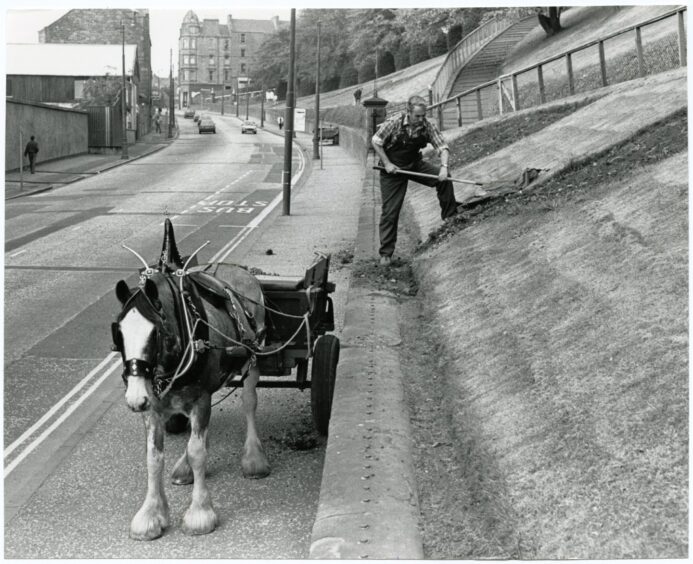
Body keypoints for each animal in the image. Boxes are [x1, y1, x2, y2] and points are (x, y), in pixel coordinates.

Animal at [111, 218, 270, 540]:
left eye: (155, 332)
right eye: (118, 332)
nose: (134, 398)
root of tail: (238, 269)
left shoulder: (200, 398)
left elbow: (198, 452)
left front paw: (200, 513)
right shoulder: (155, 406)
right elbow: (153, 457)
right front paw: (151, 514)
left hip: (251, 360)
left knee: (249, 403)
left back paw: (253, 458)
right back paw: (184, 467)